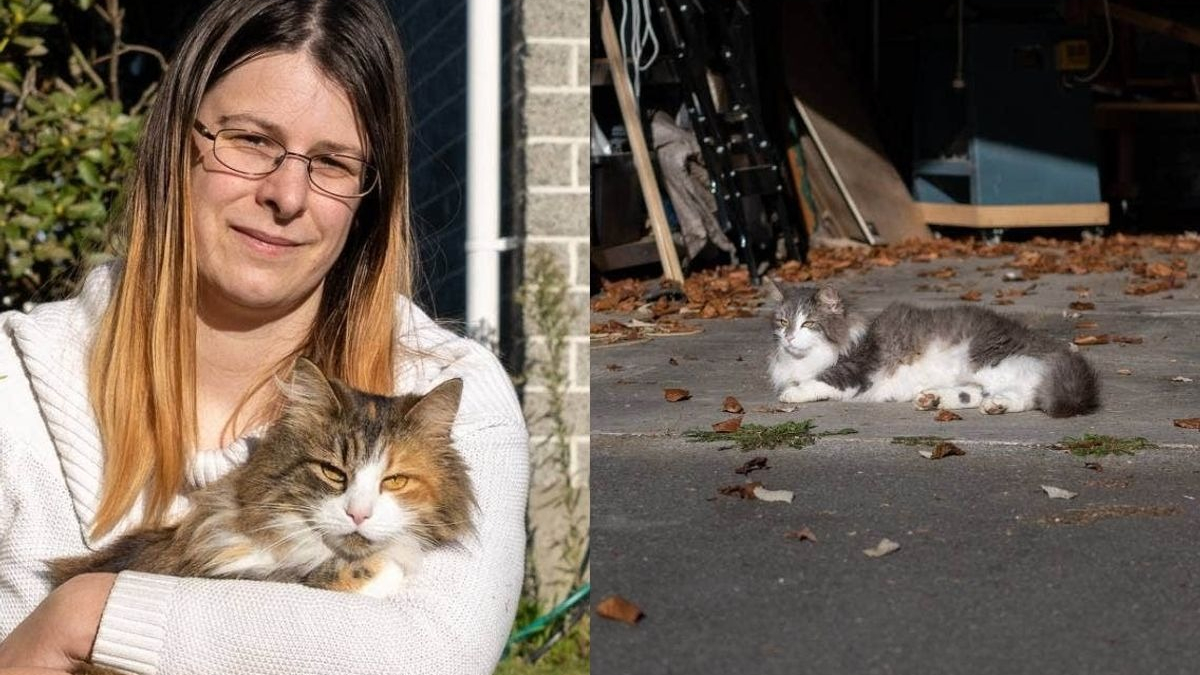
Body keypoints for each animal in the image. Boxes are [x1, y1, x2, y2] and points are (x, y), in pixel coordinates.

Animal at [768, 278, 1099, 415]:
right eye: (783, 322)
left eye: (808, 324)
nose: (789, 338)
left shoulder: (854, 371)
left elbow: (818, 381)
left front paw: (791, 393)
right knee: (976, 394)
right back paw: (934, 400)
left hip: (990, 362)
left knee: (1032, 392)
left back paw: (996, 405)